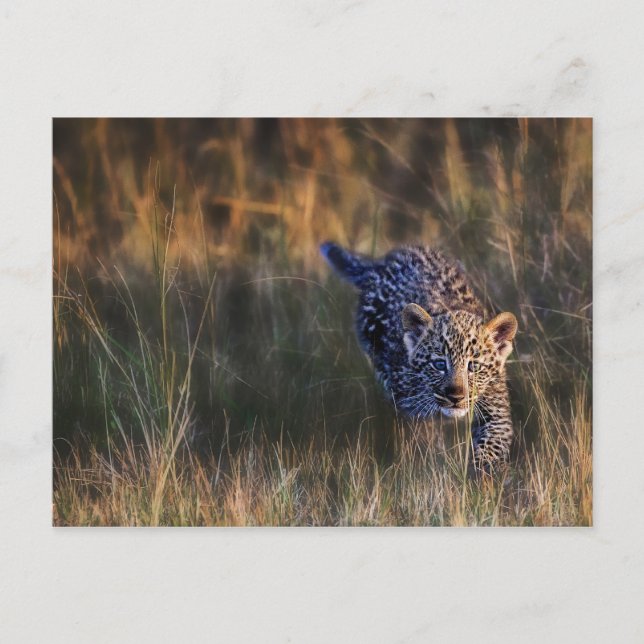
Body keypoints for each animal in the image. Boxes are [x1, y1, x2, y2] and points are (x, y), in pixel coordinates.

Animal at [320, 241, 518, 471]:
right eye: (439, 364)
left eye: (474, 367)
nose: (456, 397)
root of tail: (381, 264)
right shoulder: (407, 406)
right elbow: (421, 437)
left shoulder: (496, 411)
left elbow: (491, 446)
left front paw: (483, 474)